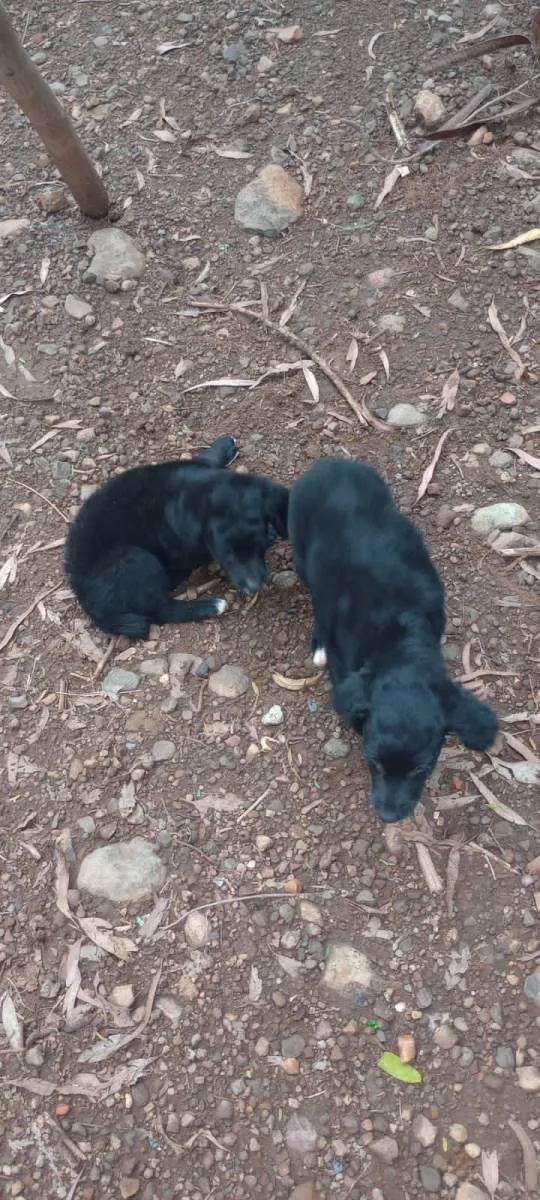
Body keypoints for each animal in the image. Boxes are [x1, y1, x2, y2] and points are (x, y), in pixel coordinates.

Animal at [65, 436, 289, 643]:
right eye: (227, 557)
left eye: (257, 546)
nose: (253, 587)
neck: (197, 490)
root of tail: (84, 598)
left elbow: (207, 457)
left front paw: (224, 445)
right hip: (134, 560)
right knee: (162, 610)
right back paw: (210, 606)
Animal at [289, 458, 499, 825]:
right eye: (373, 761)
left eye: (420, 769)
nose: (388, 816)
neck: (400, 636)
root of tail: (331, 462)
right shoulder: (345, 665)